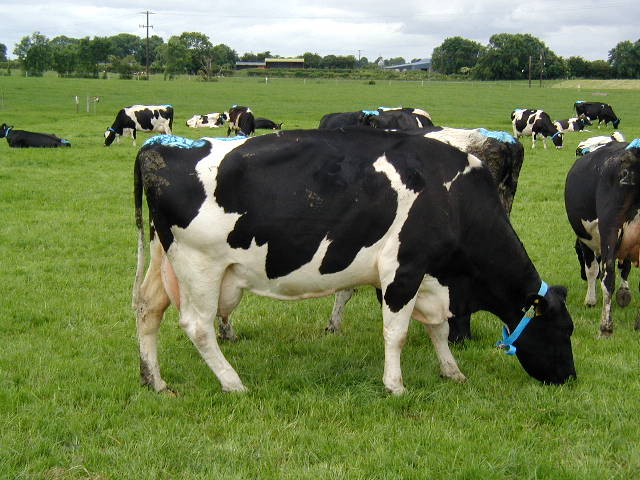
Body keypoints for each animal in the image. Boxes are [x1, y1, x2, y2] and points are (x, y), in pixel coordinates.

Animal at [564, 138, 640, 338]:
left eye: (577, 253)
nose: (581, 277)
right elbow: (625, 267)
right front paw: (624, 293)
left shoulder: (585, 241)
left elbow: (593, 269)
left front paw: (590, 300)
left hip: (609, 227)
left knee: (608, 276)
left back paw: (605, 327)